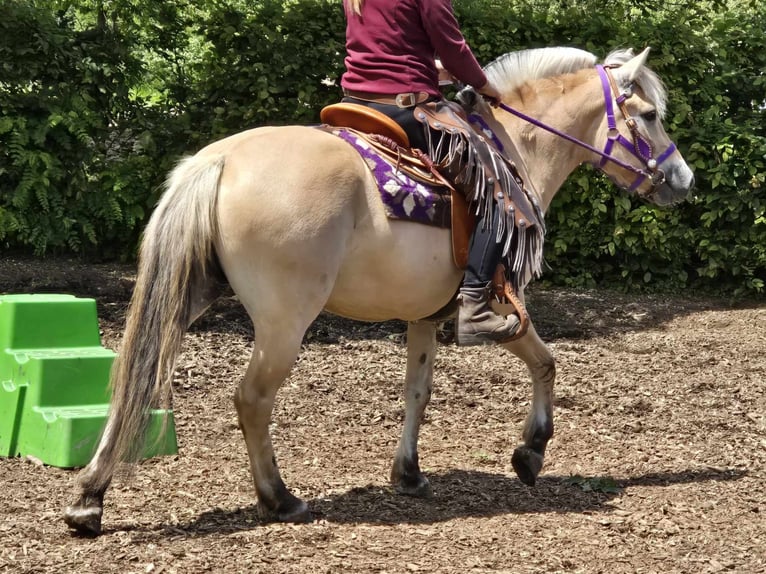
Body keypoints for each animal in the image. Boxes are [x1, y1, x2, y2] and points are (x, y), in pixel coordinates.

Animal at [61, 47, 696, 536]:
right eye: (646, 114)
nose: (683, 180)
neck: (516, 147)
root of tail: (220, 157)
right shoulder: (501, 299)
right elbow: (546, 362)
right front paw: (530, 451)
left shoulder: (423, 315)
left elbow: (418, 391)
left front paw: (408, 473)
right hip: (284, 323)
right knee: (251, 399)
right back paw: (278, 498)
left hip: (188, 296)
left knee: (136, 377)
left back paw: (89, 498)